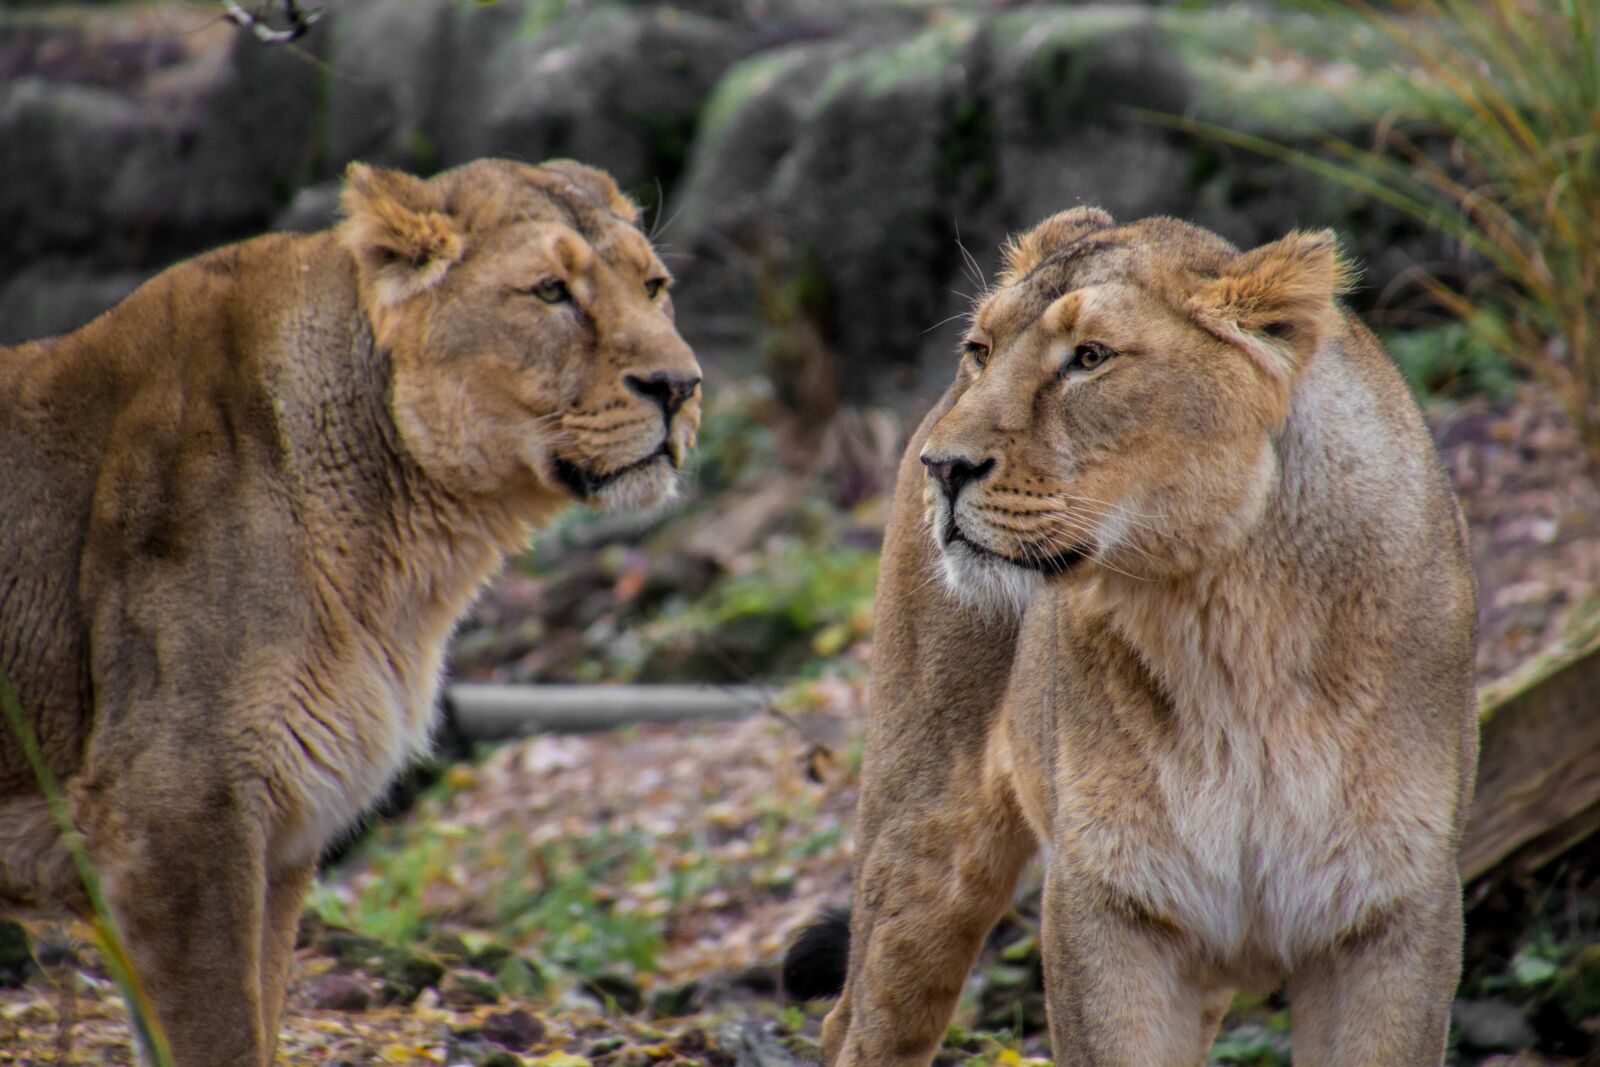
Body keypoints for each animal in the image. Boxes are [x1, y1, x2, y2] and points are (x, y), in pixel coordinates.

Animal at [0, 158, 701, 1066]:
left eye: (654, 287)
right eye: (551, 291)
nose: (681, 386)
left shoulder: (280, 838)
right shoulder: (173, 822)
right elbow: (226, 1040)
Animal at [785, 209, 1477, 1065]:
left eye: (1090, 357)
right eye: (981, 349)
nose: (939, 467)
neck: (1225, 619)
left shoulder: (1396, 917)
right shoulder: (1108, 905)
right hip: (922, 827)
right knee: (858, 1017)